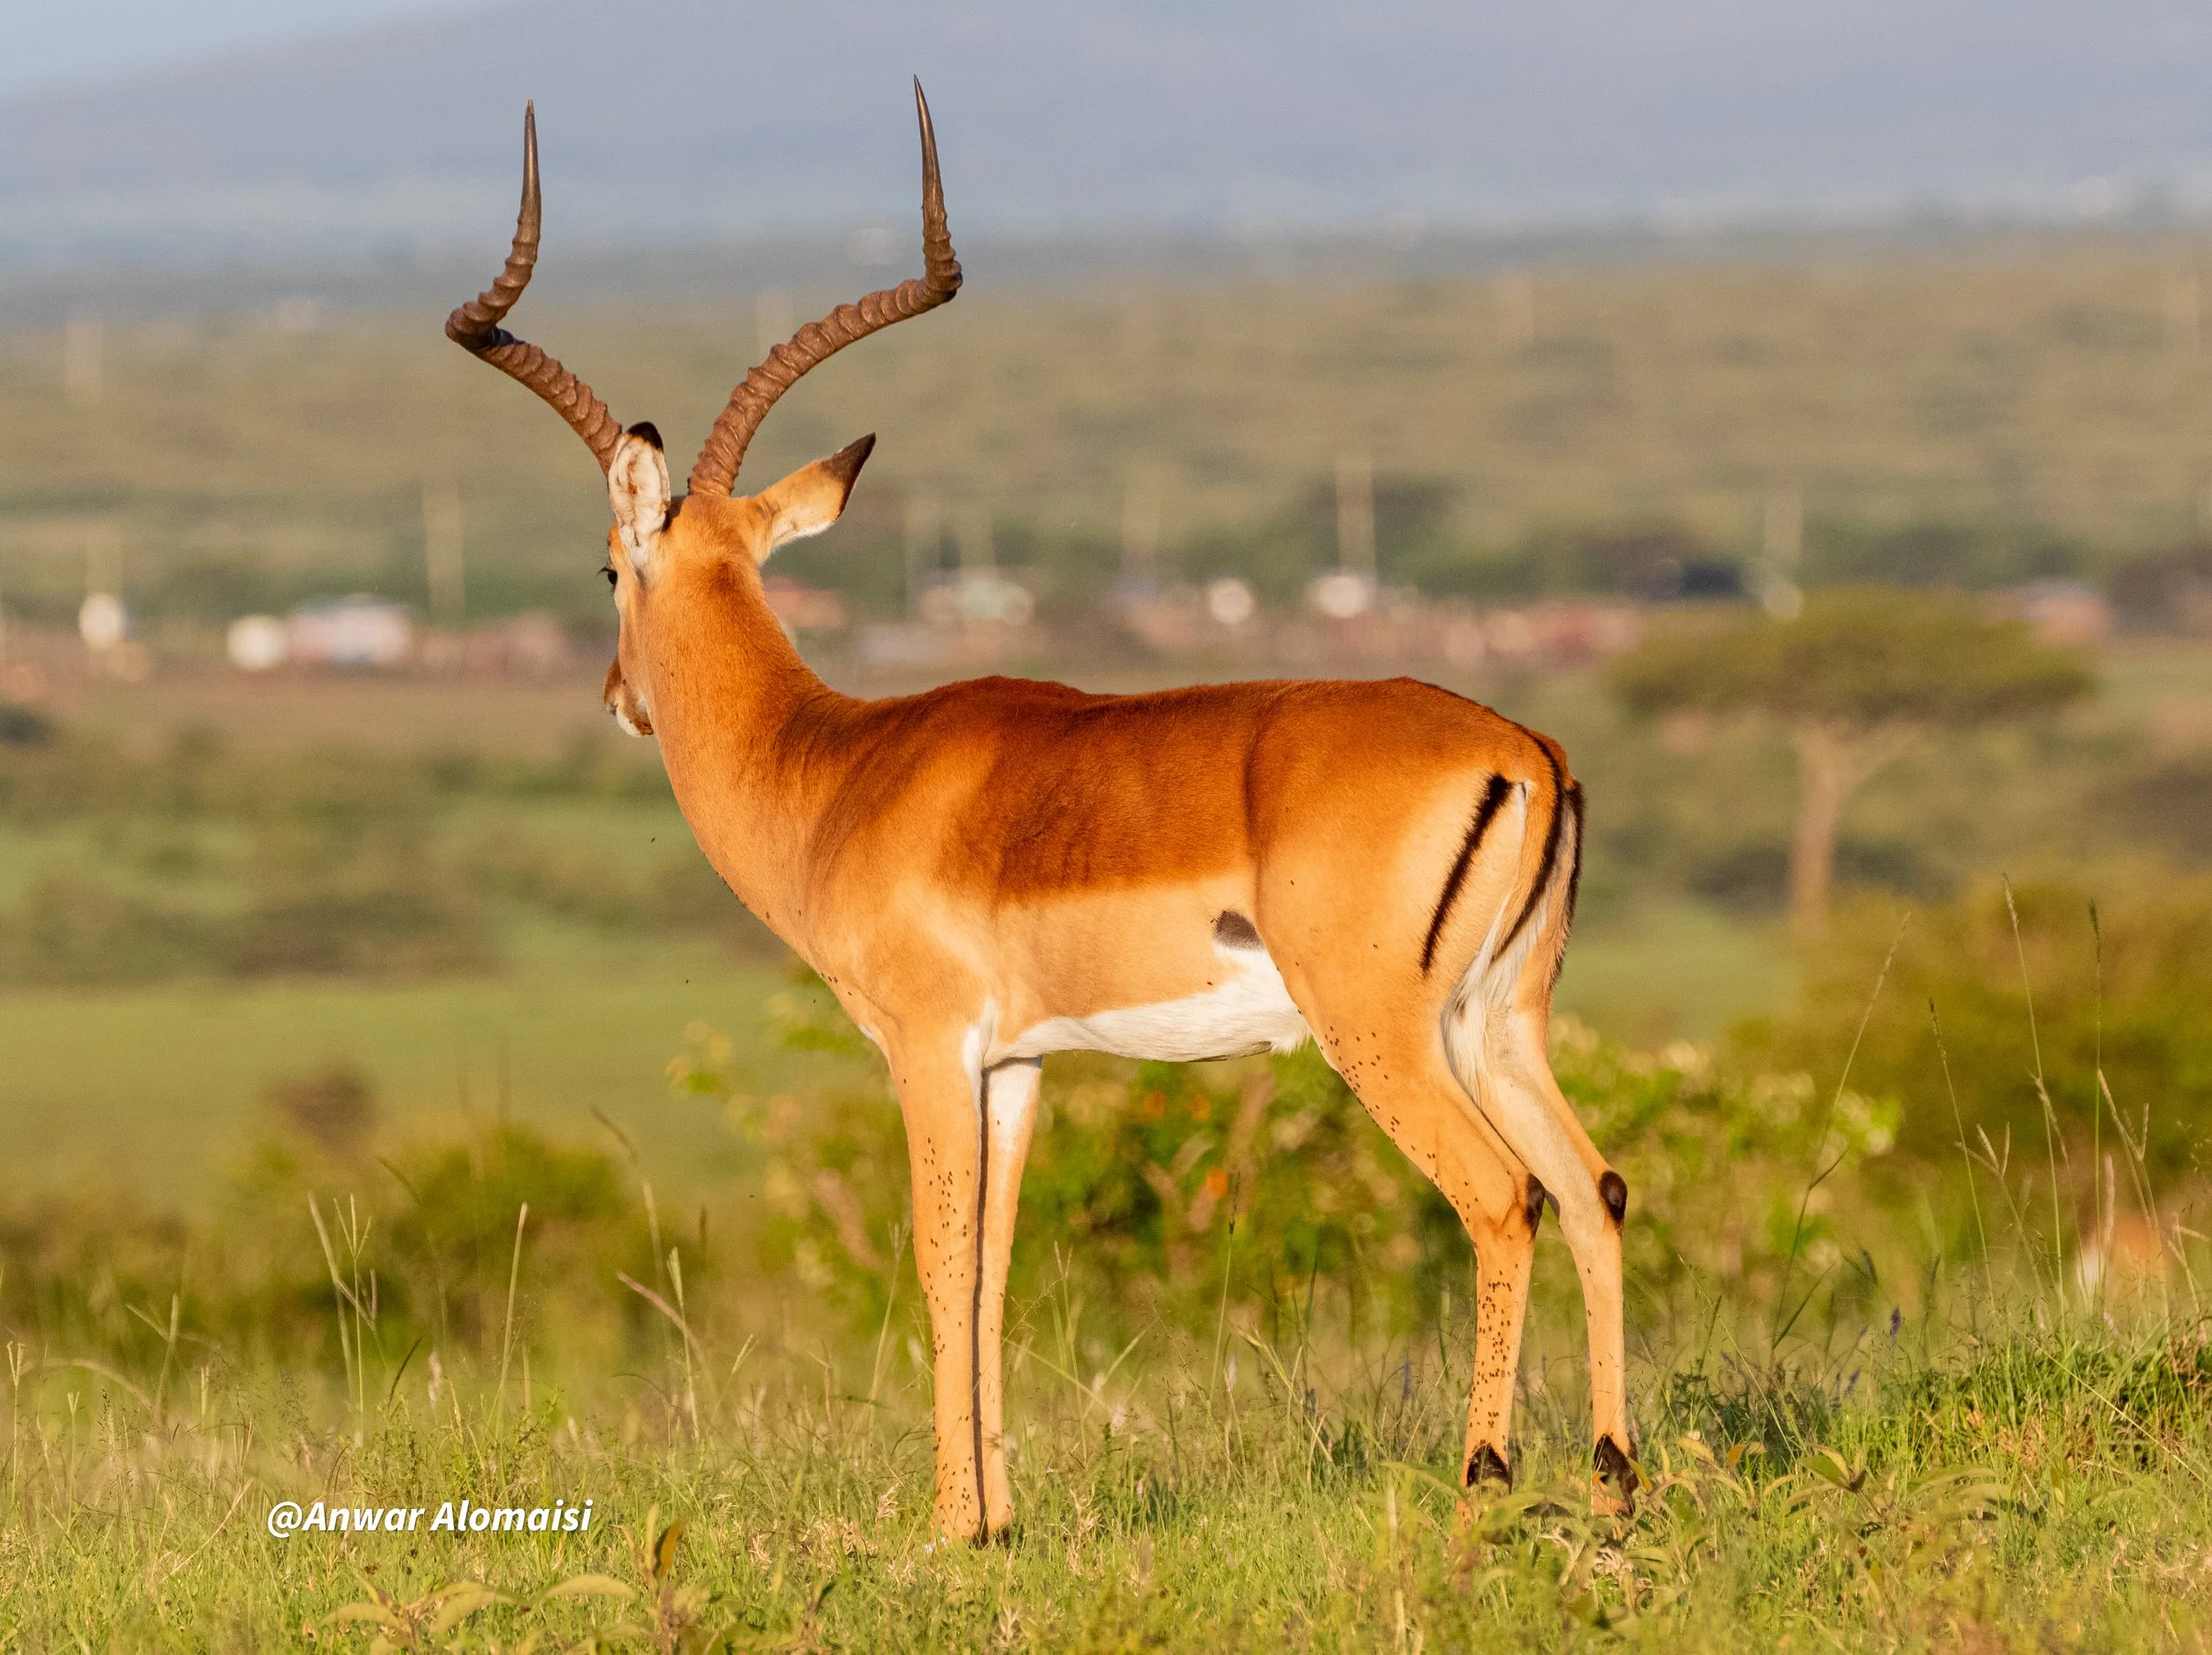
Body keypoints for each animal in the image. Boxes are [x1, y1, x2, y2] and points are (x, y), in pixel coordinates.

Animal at [446, 83, 1638, 1539]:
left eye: (609, 567)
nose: (619, 696)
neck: (834, 770)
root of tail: (1521, 747)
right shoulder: (1014, 1068)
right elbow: (998, 1271)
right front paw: (1002, 1520)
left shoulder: (925, 1048)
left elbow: (939, 1260)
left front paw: (951, 1526)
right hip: (1499, 1020)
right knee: (1592, 1187)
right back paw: (1614, 1474)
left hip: (1382, 1034)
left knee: (1502, 1197)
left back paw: (1483, 1483)